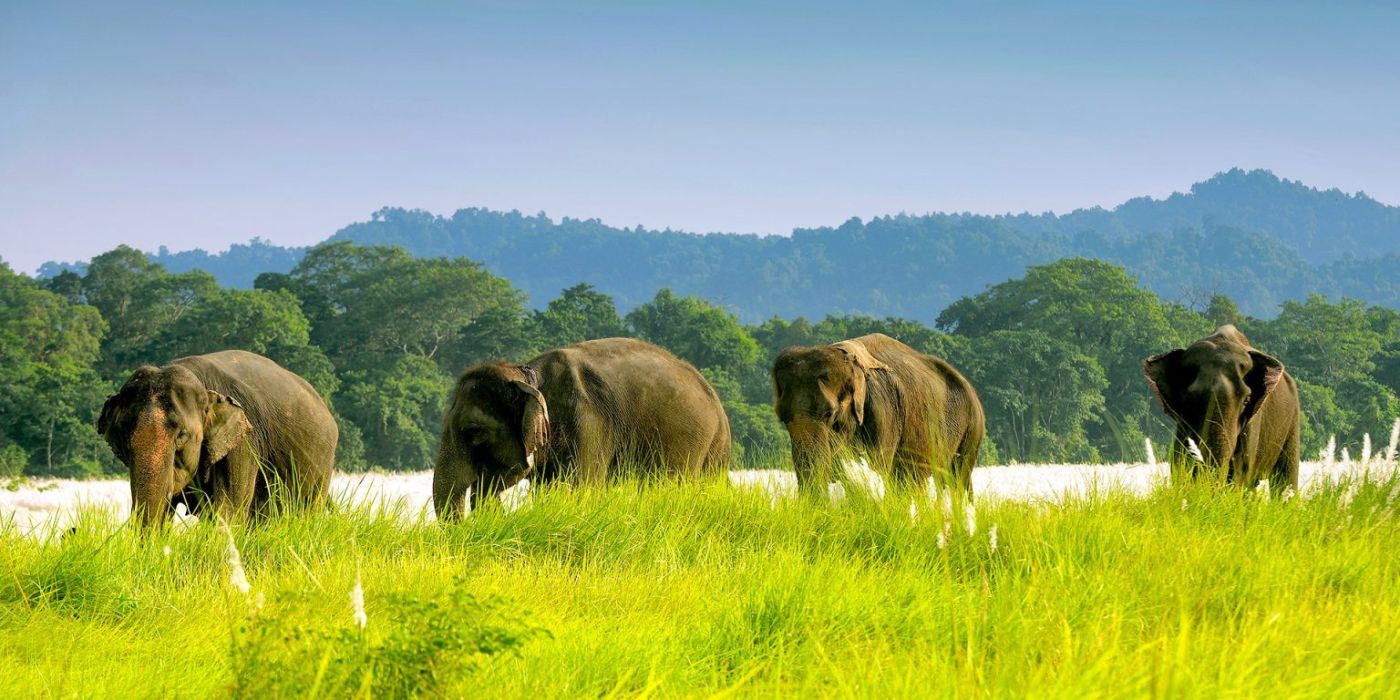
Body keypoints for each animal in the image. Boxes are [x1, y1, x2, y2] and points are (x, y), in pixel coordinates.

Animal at [773, 333, 985, 498]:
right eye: (783, 418)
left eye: (829, 413)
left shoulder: (884, 411)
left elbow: (875, 468)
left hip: (973, 430)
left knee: (957, 478)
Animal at [1144, 324, 1301, 490]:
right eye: (1189, 400)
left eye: (1246, 401)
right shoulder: (1182, 427)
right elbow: (1180, 463)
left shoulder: (1252, 424)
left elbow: (1240, 471)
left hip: (1293, 420)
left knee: (1285, 479)